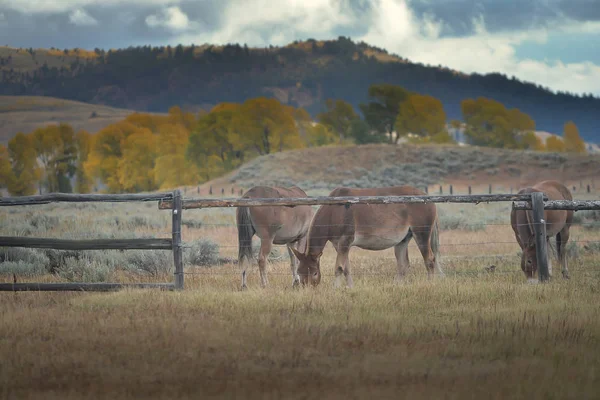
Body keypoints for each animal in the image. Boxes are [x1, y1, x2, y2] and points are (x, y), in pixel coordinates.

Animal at [288, 186, 442, 286]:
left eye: (314, 273)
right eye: (300, 272)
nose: (308, 289)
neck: (334, 211)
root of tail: (428, 199)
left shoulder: (345, 242)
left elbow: (339, 268)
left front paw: (335, 289)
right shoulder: (339, 245)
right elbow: (346, 268)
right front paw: (350, 288)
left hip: (421, 234)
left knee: (430, 260)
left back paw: (430, 284)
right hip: (403, 240)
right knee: (403, 265)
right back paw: (397, 286)